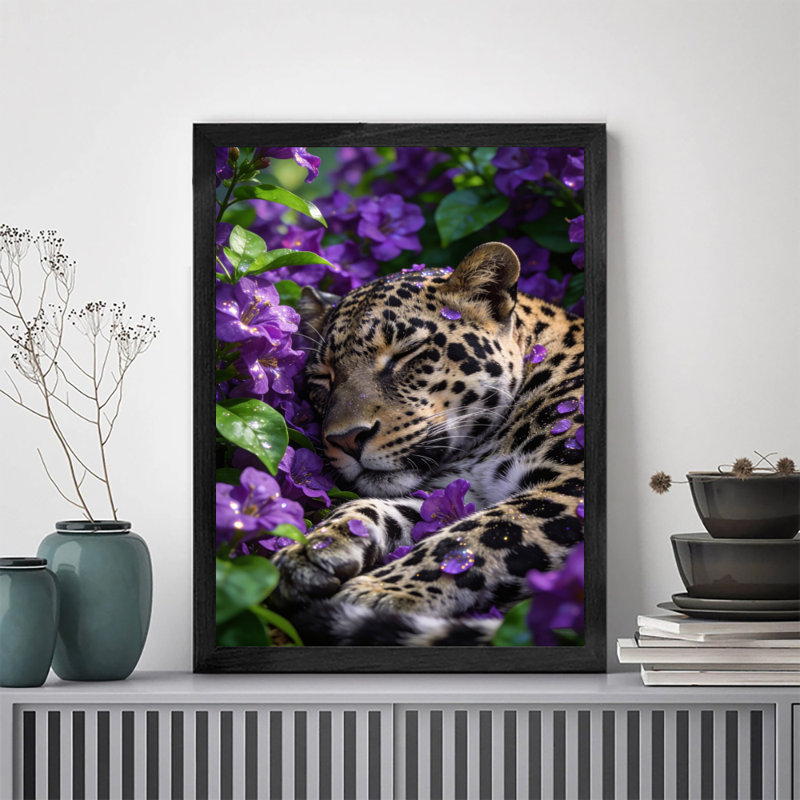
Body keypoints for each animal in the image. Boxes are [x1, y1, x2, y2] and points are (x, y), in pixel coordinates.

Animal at [270, 242, 585, 645]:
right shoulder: (460, 494)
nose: (346, 439)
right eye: (324, 376)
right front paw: (312, 549)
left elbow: (476, 535)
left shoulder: (570, 484)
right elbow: (373, 506)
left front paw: (377, 591)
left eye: (405, 355)